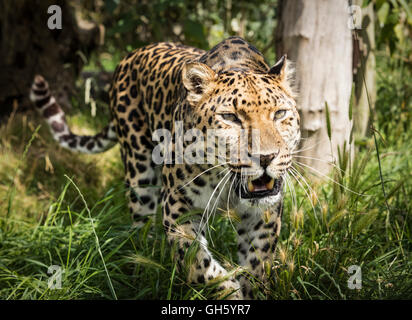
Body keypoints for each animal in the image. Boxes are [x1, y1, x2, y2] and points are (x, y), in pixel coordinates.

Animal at [29, 37, 300, 300]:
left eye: (280, 113)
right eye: (230, 117)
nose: (266, 158)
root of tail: (132, 54)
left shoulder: (263, 217)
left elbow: (257, 266)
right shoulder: (179, 207)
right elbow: (197, 266)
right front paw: (228, 291)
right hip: (139, 174)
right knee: (140, 230)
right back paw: (143, 270)